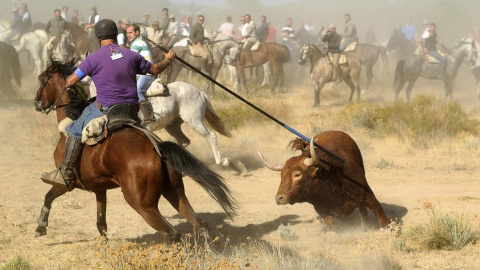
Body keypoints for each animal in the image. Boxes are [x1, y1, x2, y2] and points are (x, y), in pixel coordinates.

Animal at [33, 59, 236, 243]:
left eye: (42, 79)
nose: (36, 103)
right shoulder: (99, 187)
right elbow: (101, 221)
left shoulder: (67, 183)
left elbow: (48, 196)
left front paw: (41, 226)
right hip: (175, 188)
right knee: (198, 221)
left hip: (142, 201)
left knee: (172, 232)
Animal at [258, 132, 390, 229]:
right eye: (281, 175)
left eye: (297, 174)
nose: (279, 198)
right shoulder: (321, 209)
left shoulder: (369, 196)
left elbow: (383, 219)